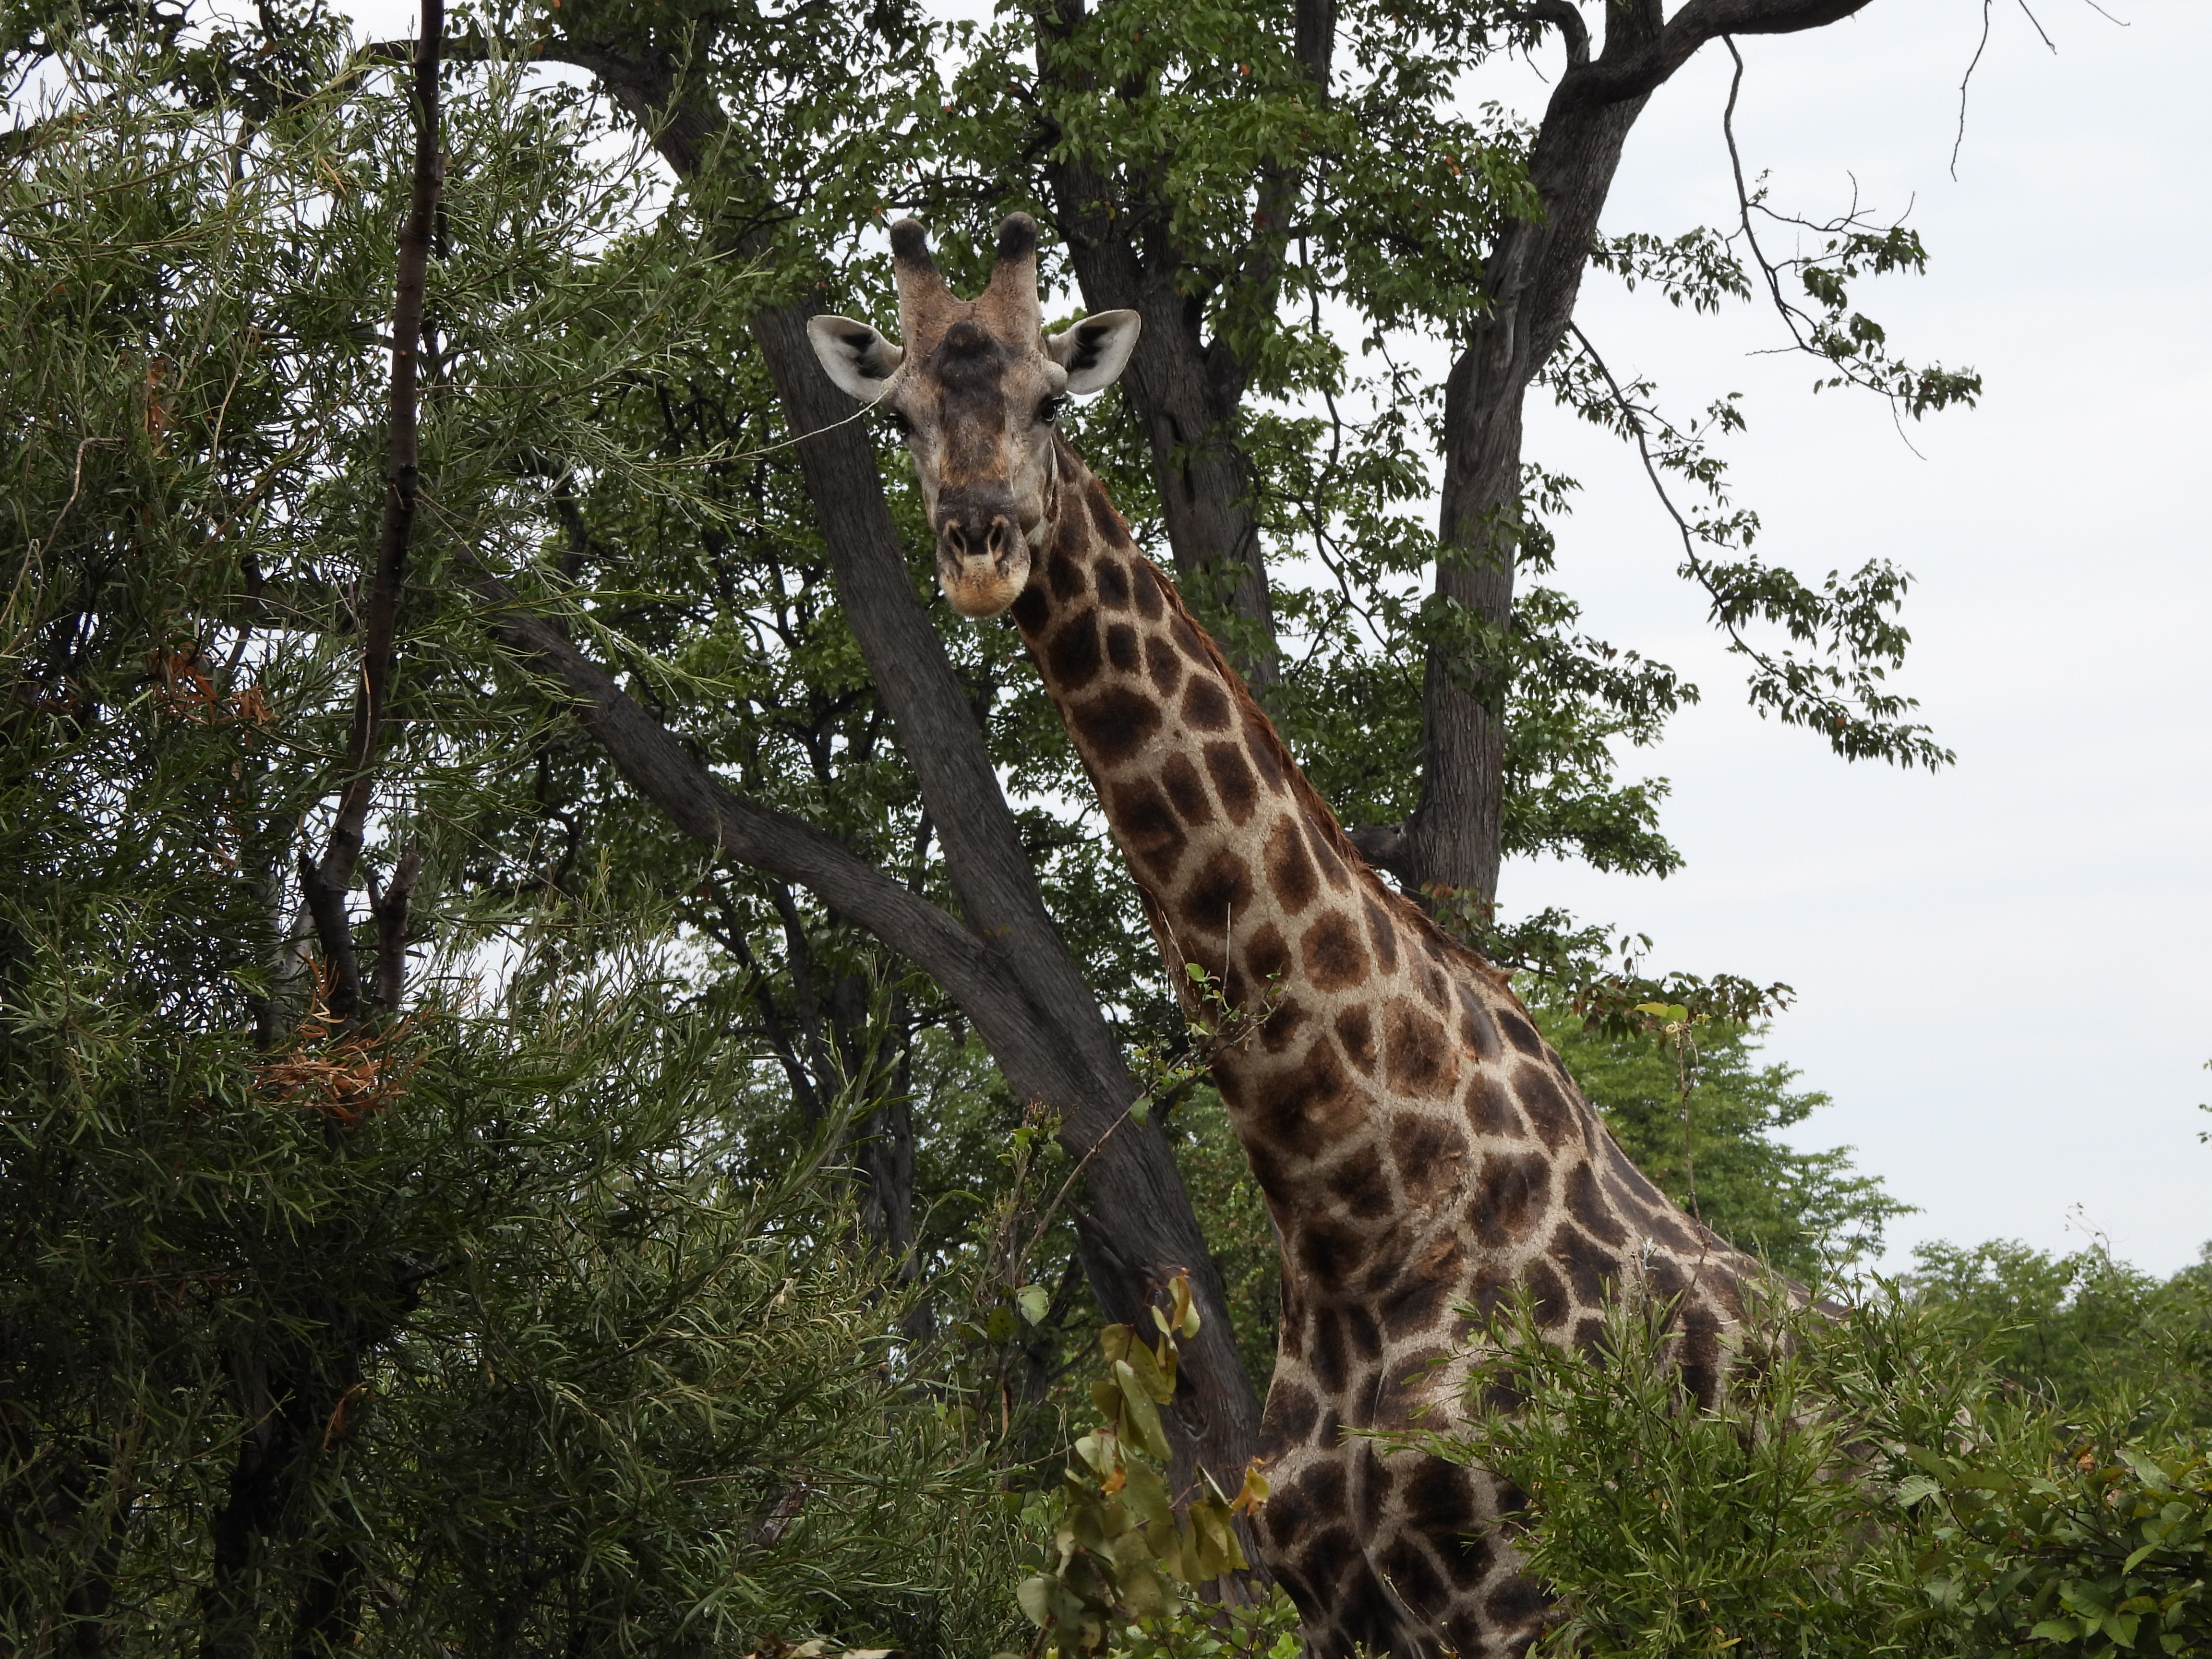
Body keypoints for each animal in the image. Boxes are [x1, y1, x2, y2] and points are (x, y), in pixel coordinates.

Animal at [809, 214, 1773, 1659]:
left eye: (1050, 402)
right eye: (905, 415)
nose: (980, 545)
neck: (1356, 1211)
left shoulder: (1522, 1598)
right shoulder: (1336, 1606)